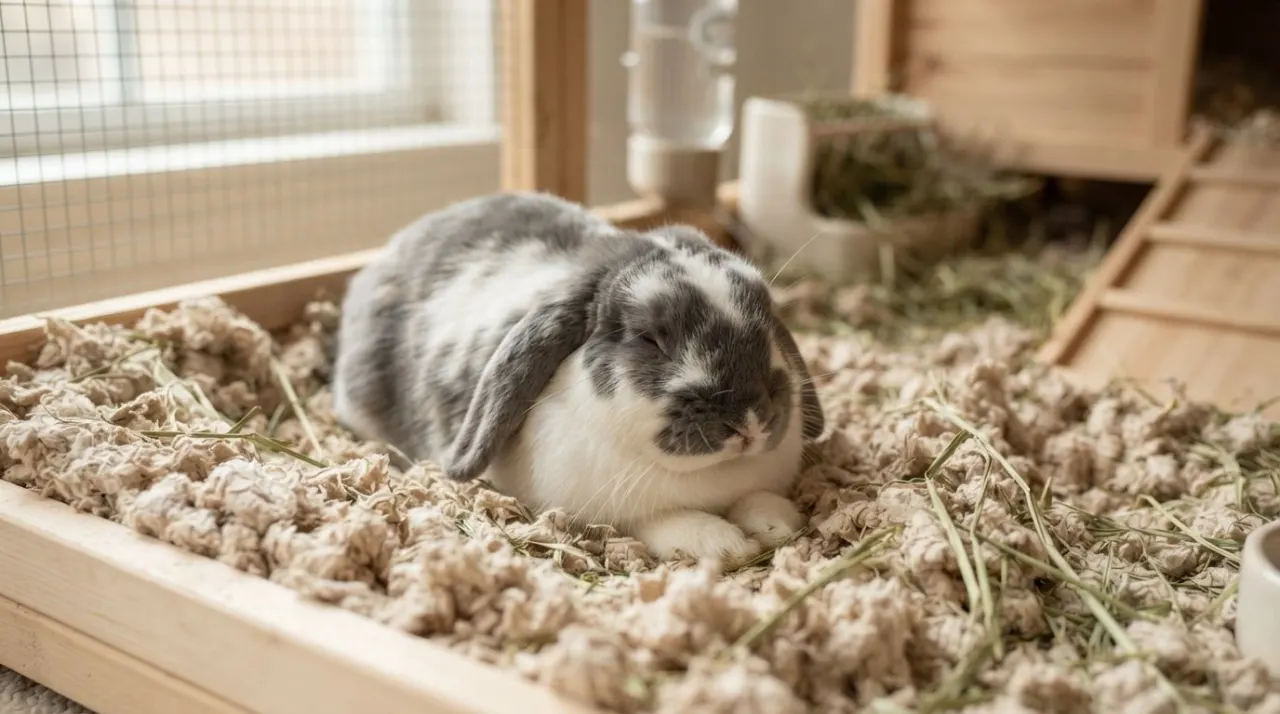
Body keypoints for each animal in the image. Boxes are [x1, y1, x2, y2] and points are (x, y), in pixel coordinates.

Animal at [331, 191, 826, 566]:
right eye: (649, 338)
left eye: (766, 319)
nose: (749, 419)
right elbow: (662, 521)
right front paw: (726, 545)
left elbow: (758, 500)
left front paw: (778, 523)